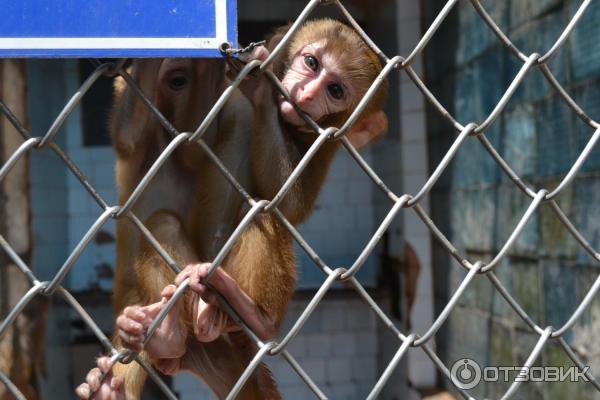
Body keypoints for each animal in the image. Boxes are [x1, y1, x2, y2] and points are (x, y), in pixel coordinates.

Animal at [75, 19, 390, 400]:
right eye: (312, 63)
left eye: (335, 89)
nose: (307, 95)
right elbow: (189, 144)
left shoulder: (327, 136)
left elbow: (289, 204)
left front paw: (261, 88)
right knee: (165, 224)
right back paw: (169, 335)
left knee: (261, 211)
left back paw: (247, 315)